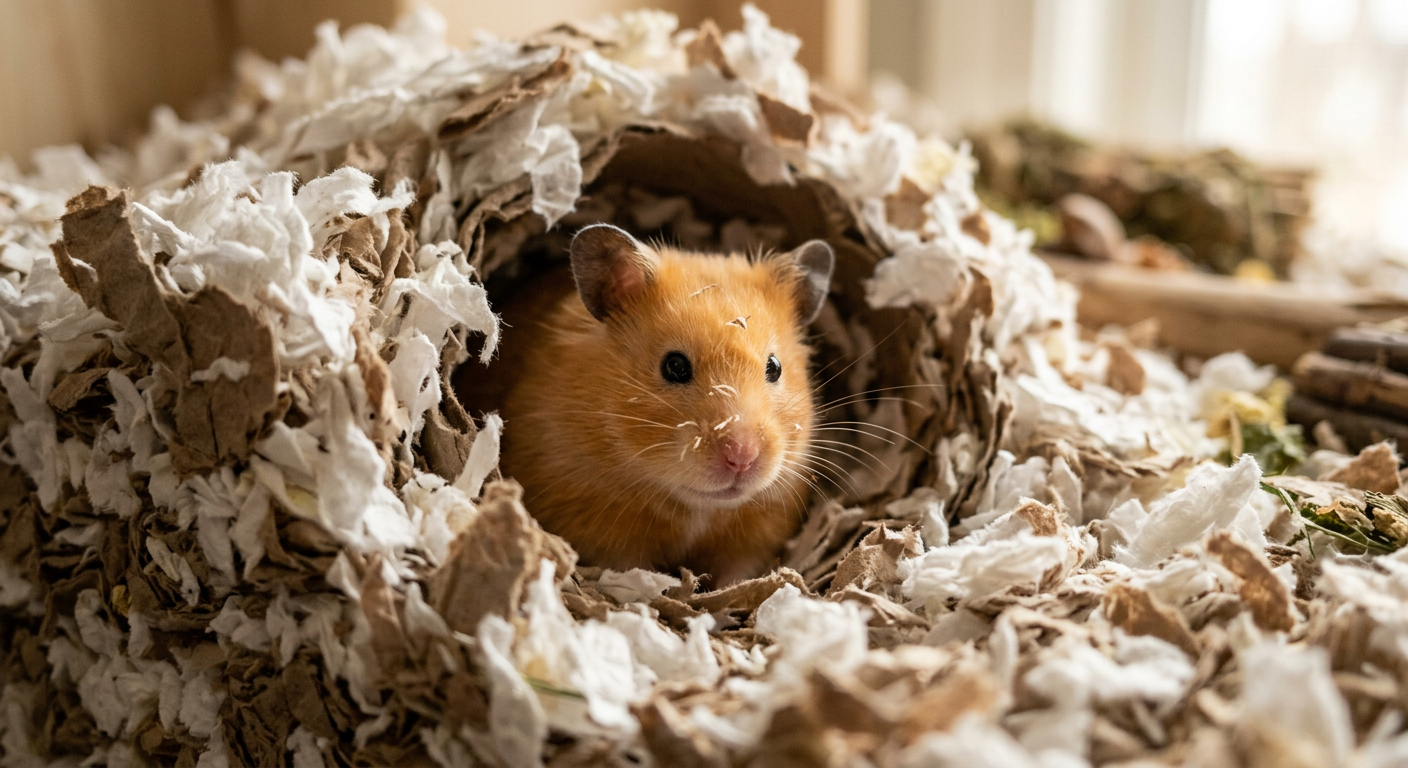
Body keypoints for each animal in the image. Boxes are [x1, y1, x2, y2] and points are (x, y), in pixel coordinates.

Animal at [497, 224, 834, 586]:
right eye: (674, 366)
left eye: (774, 367)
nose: (742, 457)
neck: (696, 508)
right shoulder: (594, 524)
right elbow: (630, 569)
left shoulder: (761, 528)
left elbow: (738, 571)